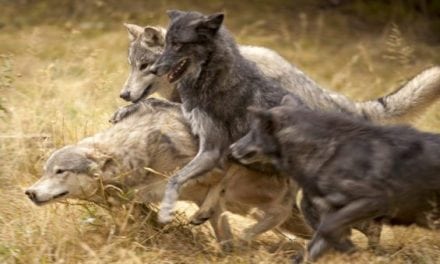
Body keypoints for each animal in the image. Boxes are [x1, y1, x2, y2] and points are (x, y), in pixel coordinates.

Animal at [24, 98, 312, 251]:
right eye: (45, 172)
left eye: (60, 172)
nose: (29, 192)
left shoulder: (217, 164)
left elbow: (220, 182)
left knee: (279, 211)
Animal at [230, 96, 440, 262]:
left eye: (253, 132)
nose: (232, 148)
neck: (329, 153)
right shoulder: (332, 214)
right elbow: (310, 250)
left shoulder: (374, 201)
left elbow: (327, 231)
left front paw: (356, 251)